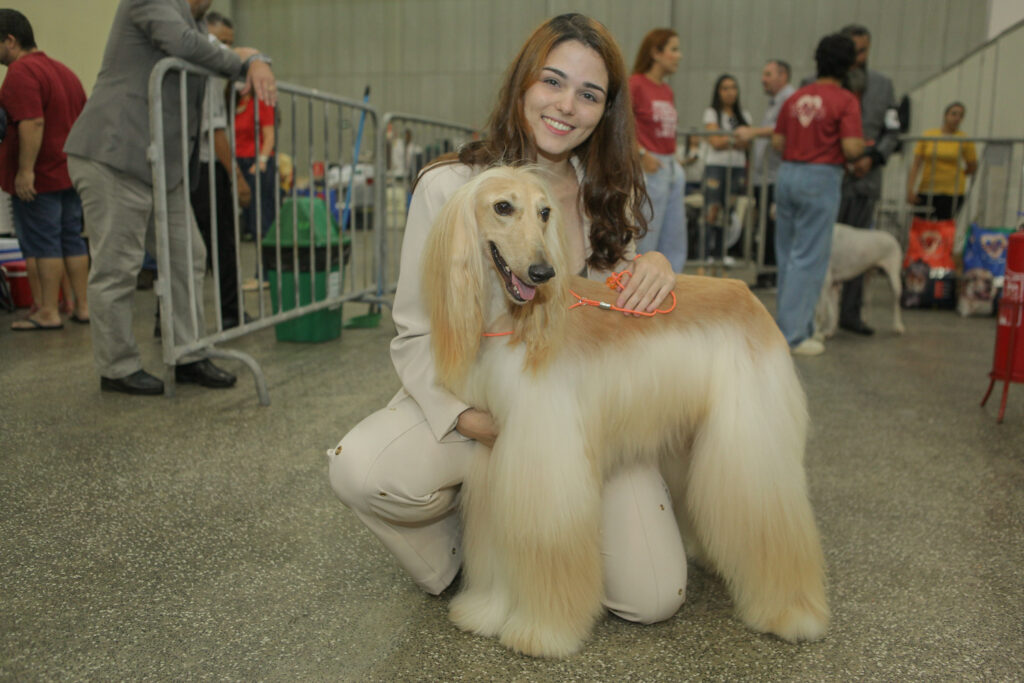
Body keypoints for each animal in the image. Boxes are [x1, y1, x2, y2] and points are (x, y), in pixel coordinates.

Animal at [419, 163, 827, 655]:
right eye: (502, 206)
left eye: (544, 212)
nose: (541, 272)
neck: (515, 322)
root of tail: (748, 294)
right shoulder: (497, 450)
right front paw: (488, 612)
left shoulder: (546, 460)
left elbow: (544, 548)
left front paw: (542, 630)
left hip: (749, 440)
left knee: (776, 519)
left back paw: (793, 612)